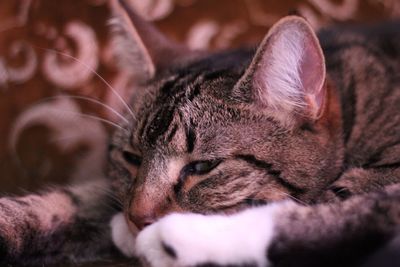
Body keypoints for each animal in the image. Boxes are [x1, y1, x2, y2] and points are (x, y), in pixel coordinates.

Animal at [0, 0, 400, 266]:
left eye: (203, 167)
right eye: (131, 158)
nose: (137, 220)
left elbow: (330, 210)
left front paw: (171, 240)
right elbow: (61, 204)